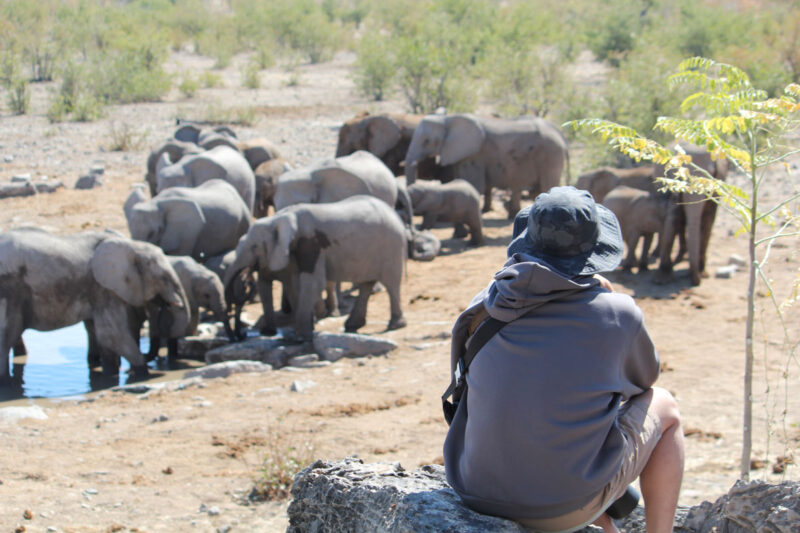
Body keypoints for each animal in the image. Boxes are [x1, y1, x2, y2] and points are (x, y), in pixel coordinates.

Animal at [0, 227, 191, 380]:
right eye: (164, 278)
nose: (168, 304)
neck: (132, 245)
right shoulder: (103, 287)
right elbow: (111, 334)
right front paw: (143, 374)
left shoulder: (97, 289)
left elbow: (97, 331)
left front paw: (109, 373)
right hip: (10, 292)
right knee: (7, 336)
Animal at [225, 194, 410, 336]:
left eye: (254, 247)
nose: (240, 336)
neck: (279, 218)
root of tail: (396, 217)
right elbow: (290, 284)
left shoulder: (310, 244)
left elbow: (313, 282)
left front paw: (299, 337)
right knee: (367, 283)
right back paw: (352, 326)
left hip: (391, 246)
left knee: (391, 284)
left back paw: (395, 325)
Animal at [406, 113, 568, 217]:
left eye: (427, 141)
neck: (447, 119)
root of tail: (560, 135)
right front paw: (485, 210)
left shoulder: (474, 154)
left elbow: (475, 185)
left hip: (551, 156)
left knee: (547, 185)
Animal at [652, 139, 728, 284]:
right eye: (678, 176)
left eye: (710, 175)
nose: (696, 281)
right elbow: (674, 218)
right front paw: (663, 277)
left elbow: (708, 220)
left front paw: (703, 273)